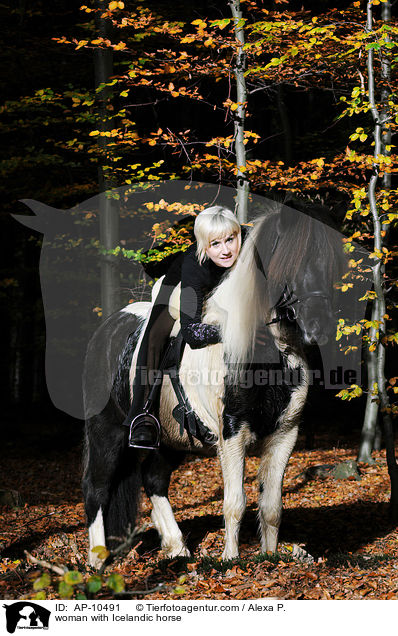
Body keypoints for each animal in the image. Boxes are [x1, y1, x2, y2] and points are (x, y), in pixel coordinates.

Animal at [82, 199, 346, 568]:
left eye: (331, 262)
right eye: (293, 260)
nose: (319, 326)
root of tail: (106, 330)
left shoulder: (285, 433)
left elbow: (272, 506)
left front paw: (269, 556)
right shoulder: (231, 432)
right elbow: (235, 501)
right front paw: (231, 560)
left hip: (171, 440)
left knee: (154, 480)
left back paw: (176, 548)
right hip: (106, 430)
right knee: (97, 489)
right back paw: (97, 561)